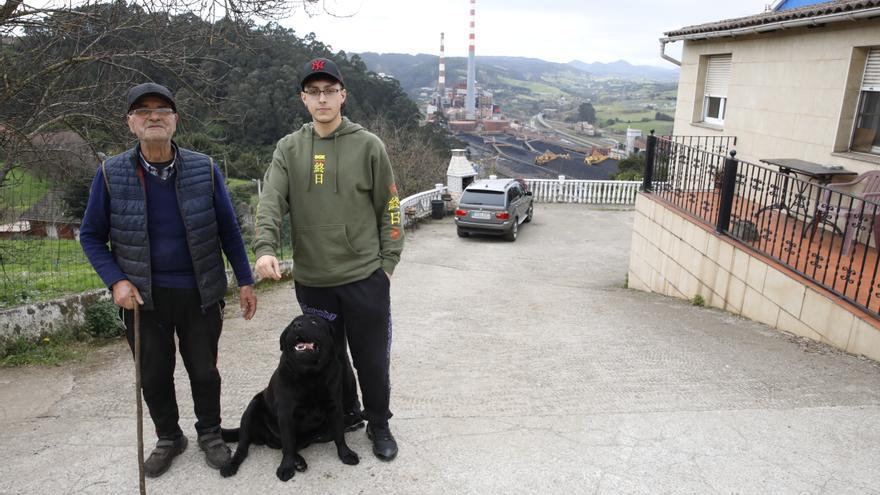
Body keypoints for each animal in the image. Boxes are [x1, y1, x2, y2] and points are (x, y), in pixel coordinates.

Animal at [219, 316, 358, 482]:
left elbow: (339, 435)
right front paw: (286, 467)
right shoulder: (286, 414)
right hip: (251, 409)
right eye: (292, 325)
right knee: (244, 449)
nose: (297, 325)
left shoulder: (335, 407)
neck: (311, 375)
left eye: (314, 323)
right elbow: (288, 443)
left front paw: (346, 454)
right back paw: (230, 465)